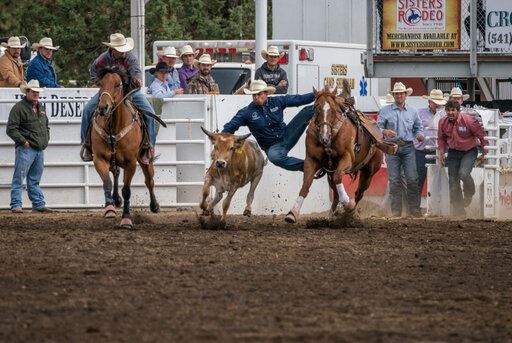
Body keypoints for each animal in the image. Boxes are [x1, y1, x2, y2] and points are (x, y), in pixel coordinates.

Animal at [91, 67, 160, 228]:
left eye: (118, 84)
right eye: (100, 84)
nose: (103, 107)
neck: (114, 126)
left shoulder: (130, 163)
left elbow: (127, 190)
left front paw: (126, 219)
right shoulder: (99, 159)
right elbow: (107, 183)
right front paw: (109, 208)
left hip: (145, 159)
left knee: (149, 181)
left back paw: (154, 206)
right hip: (113, 161)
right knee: (115, 173)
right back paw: (116, 200)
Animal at [286, 83, 382, 223]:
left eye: (332, 109)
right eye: (316, 108)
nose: (324, 137)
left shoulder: (347, 158)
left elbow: (338, 178)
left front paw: (348, 204)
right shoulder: (311, 159)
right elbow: (305, 185)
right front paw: (292, 213)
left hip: (369, 172)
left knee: (359, 192)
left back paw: (350, 212)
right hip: (329, 173)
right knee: (336, 193)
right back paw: (331, 215)